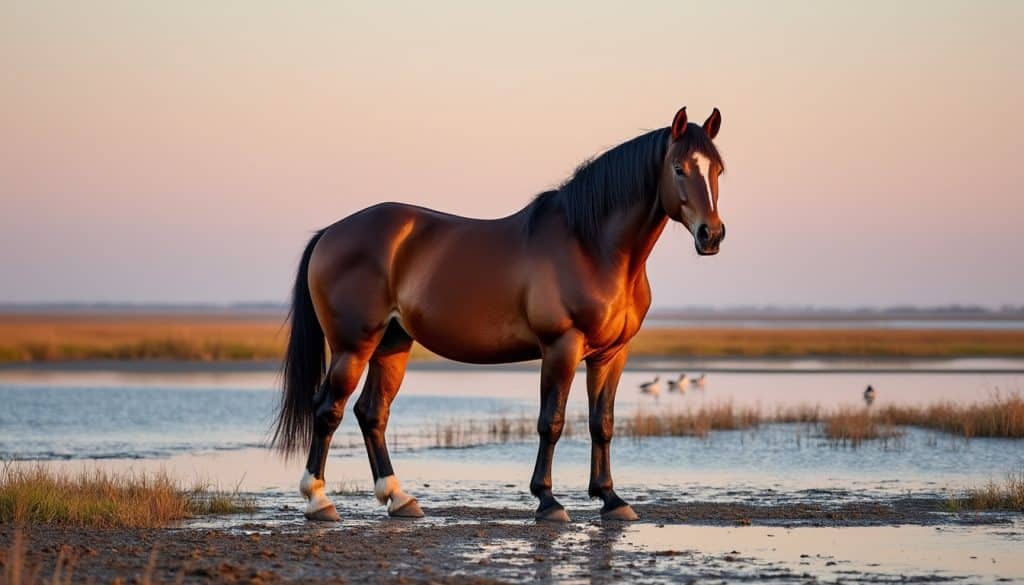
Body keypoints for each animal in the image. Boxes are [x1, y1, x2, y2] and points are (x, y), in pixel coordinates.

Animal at [272, 106, 727, 523]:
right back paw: (319, 501)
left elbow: (603, 423)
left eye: (719, 170)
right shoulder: (561, 347)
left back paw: (399, 498)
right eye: (679, 168)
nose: (712, 235)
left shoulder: (612, 354)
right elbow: (551, 421)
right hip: (353, 346)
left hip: (392, 345)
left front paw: (611, 499)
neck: (592, 247)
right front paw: (548, 501)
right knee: (328, 410)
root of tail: (330, 232)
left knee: (372, 413)